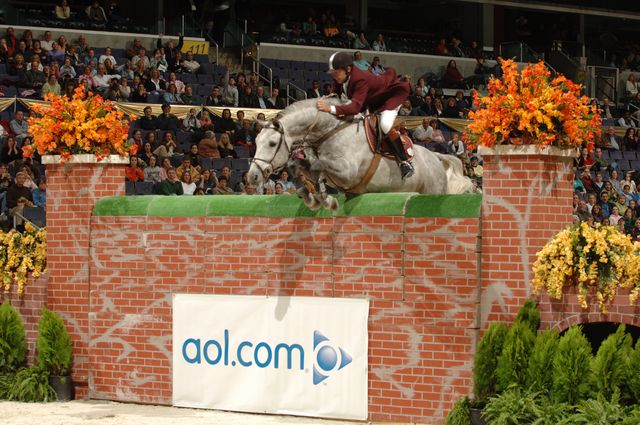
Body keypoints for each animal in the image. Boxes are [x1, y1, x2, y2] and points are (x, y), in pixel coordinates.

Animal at [248, 96, 472, 209]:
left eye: (272, 143)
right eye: (256, 142)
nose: (252, 177)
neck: (329, 130)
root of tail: (436, 157)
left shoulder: (347, 172)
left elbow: (318, 164)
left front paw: (324, 199)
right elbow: (301, 168)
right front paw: (313, 196)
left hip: (433, 189)